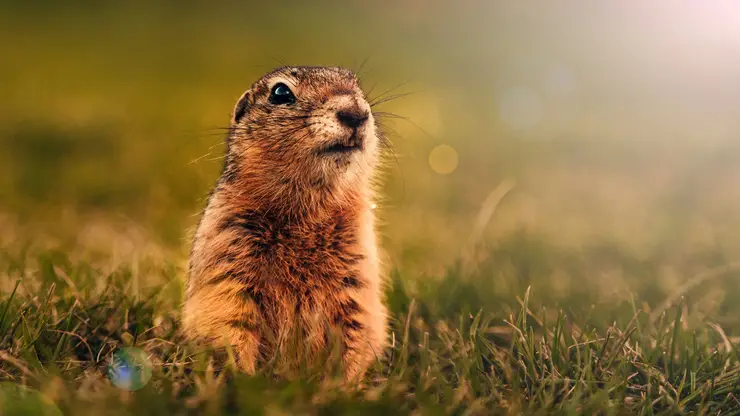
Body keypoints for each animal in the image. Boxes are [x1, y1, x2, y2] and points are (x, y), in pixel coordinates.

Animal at [183, 65, 390, 380]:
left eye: (356, 85)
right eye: (280, 92)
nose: (355, 113)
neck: (308, 211)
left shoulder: (358, 268)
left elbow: (359, 326)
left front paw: (344, 384)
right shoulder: (227, 250)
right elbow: (228, 318)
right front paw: (244, 378)